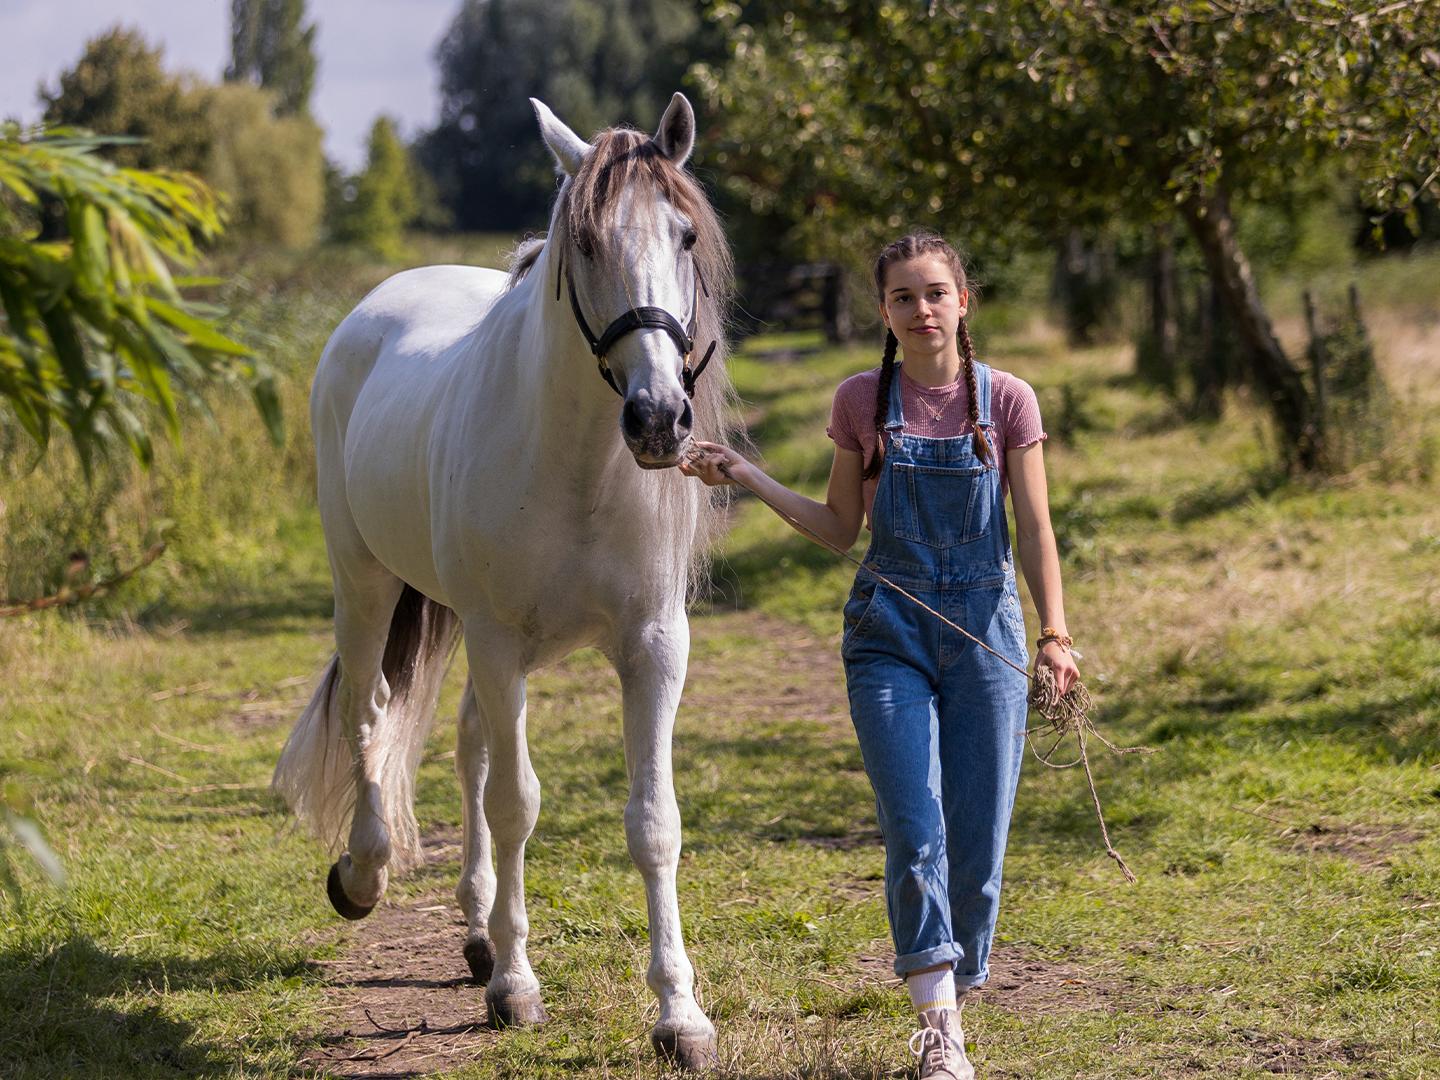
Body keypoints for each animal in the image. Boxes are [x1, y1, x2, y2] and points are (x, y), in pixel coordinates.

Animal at [275, 91, 737, 1065]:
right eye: (587, 244)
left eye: (684, 234)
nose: (659, 418)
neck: (576, 464)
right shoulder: (496, 642)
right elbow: (517, 802)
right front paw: (518, 990)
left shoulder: (654, 647)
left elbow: (653, 822)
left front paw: (679, 1014)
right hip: (367, 587)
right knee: (371, 712)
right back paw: (365, 874)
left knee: (466, 746)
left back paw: (478, 929)